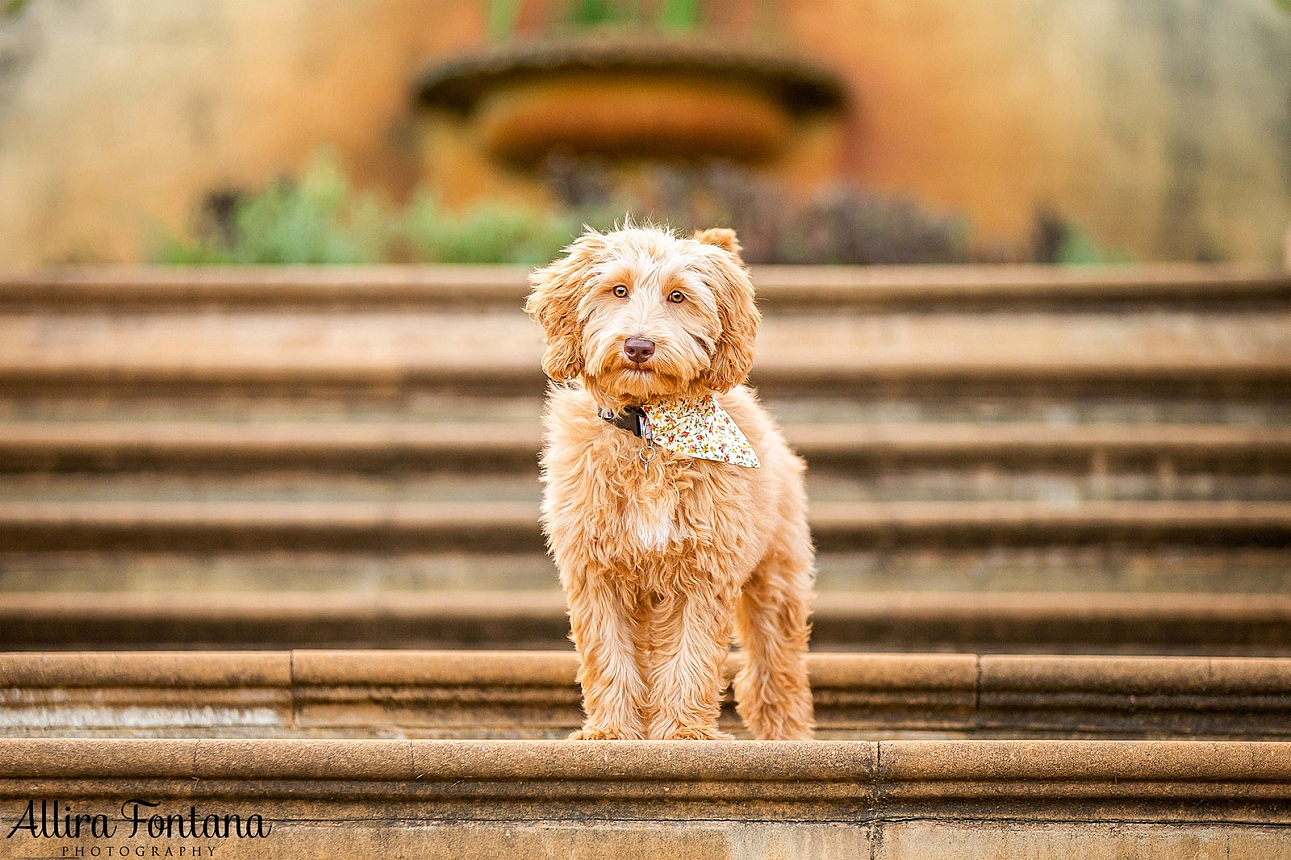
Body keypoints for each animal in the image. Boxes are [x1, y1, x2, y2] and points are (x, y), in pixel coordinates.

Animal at [526, 222, 815, 738]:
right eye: (618, 290)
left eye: (677, 296)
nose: (638, 347)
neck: (649, 429)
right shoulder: (595, 570)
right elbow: (608, 656)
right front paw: (610, 732)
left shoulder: (703, 570)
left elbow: (690, 657)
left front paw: (683, 732)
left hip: (777, 577)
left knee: (775, 670)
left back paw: (787, 735)